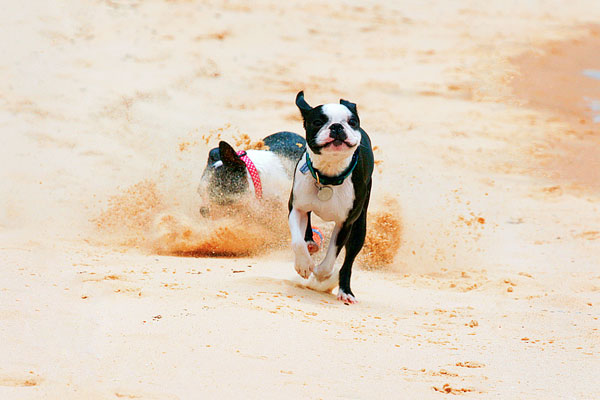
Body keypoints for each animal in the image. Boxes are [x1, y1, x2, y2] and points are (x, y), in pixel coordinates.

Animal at [288, 90, 372, 304]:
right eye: (318, 122)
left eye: (352, 122)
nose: (336, 126)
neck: (329, 175)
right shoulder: (296, 207)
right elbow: (297, 241)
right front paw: (304, 265)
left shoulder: (345, 223)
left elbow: (332, 257)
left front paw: (320, 273)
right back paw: (310, 243)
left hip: (360, 228)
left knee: (348, 262)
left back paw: (345, 291)